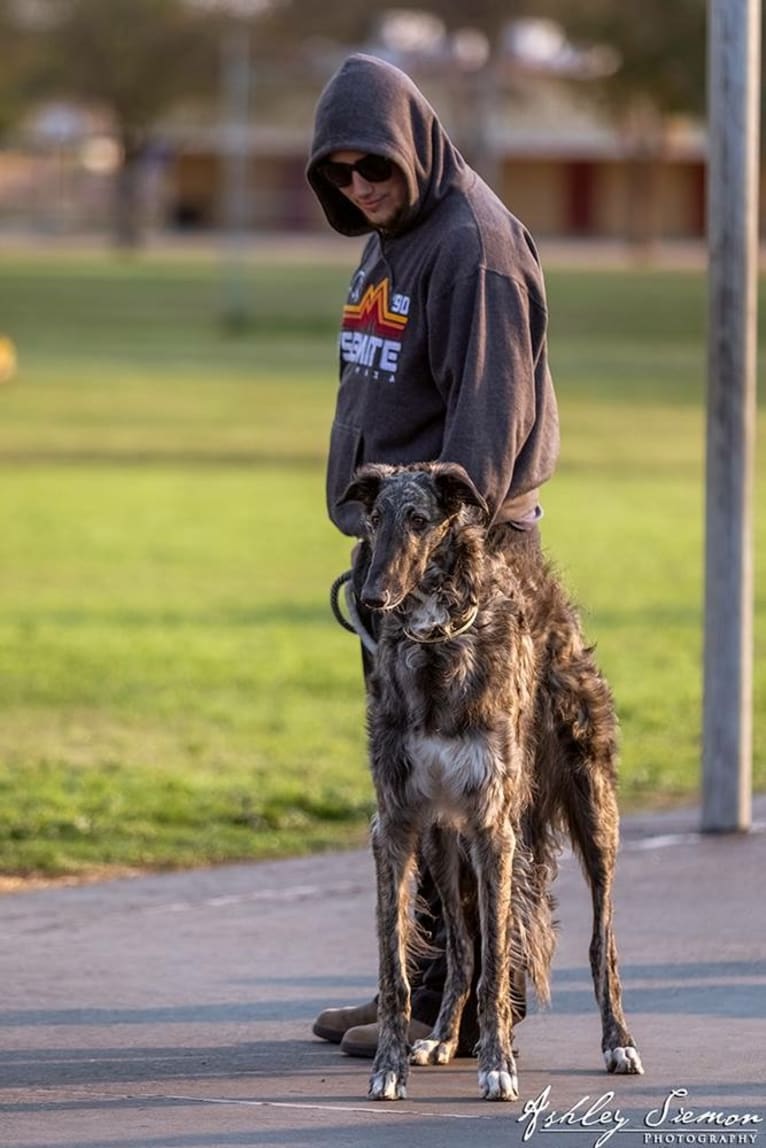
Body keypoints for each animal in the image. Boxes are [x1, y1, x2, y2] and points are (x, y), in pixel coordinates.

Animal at [337, 459, 643, 1102]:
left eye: (420, 519)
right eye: (374, 518)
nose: (374, 596)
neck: (437, 644)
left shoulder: (492, 825)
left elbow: (499, 962)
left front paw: (498, 1066)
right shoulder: (397, 823)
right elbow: (398, 967)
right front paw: (388, 1069)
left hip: (593, 811)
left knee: (601, 942)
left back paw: (618, 1042)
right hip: (442, 841)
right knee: (459, 946)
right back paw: (442, 1038)